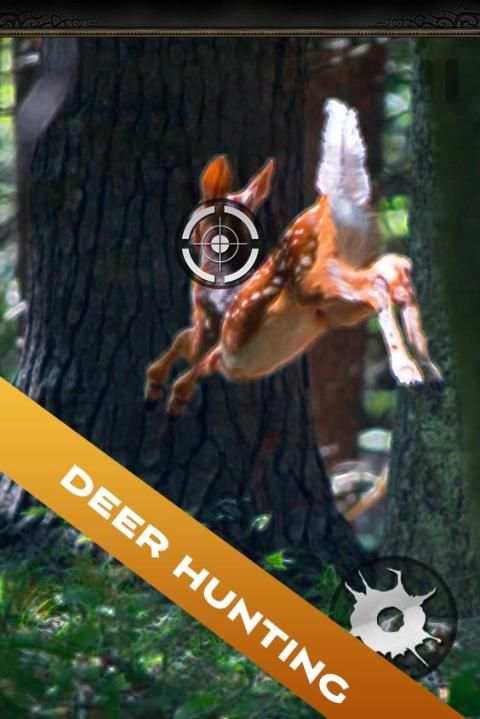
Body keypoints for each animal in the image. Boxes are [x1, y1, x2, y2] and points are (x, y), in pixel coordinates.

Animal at [145, 98, 443, 417]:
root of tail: (334, 201)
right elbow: (191, 350)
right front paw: (162, 391)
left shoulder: (212, 326)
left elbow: (188, 347)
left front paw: (166, 393)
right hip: (339, 298)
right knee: (396, 271)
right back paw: (430, 371)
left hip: (313, 278)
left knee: (377, 286)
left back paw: (408, 371)